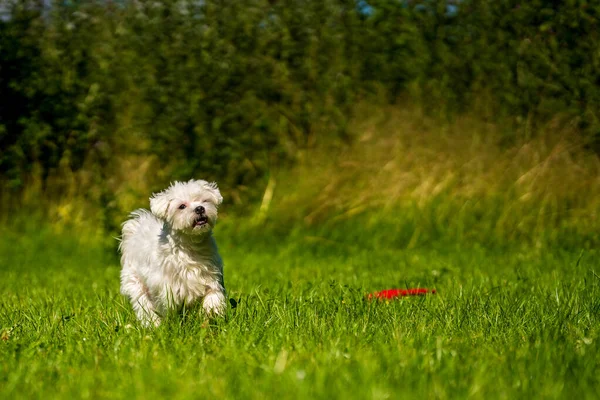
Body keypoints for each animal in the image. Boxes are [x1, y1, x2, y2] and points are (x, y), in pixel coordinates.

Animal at [118, 180, 226, 326]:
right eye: (182, 206)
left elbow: (213, 295)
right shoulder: (167, 287)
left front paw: (212, 314)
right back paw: (153, 324)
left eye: (204, 200)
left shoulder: (211, 276)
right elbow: (169, 306)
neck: (191, 247)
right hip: (136, 283)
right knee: (144, 305)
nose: (200, 208)